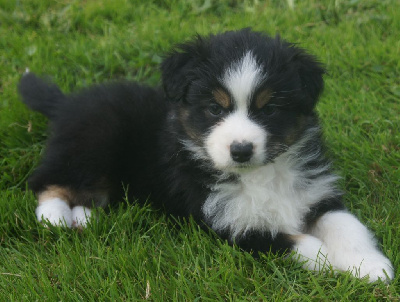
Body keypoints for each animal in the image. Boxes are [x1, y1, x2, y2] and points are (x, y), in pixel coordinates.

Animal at [18, 28, 394, 284]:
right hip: (92, 141)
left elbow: (348, 225)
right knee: (47, 180)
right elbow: (297, 244)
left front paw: (370, 265)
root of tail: (66, 102)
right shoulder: (231, 224)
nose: (240, 150)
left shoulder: (315, 194)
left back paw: (83, 217)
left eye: (269, 109)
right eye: (215, 108)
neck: (259, 175)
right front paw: (332, 262)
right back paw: (55, 216)